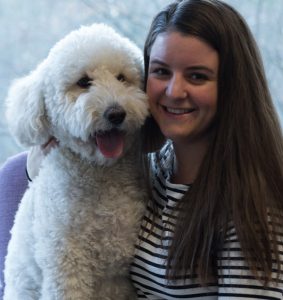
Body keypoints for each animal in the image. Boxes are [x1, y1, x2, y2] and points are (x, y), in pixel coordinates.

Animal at [3, 24, 149, 300]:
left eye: (122, 78)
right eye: (83, 82)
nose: (116, 113)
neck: (100, 173)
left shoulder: (122, 277)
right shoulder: (66, 266)